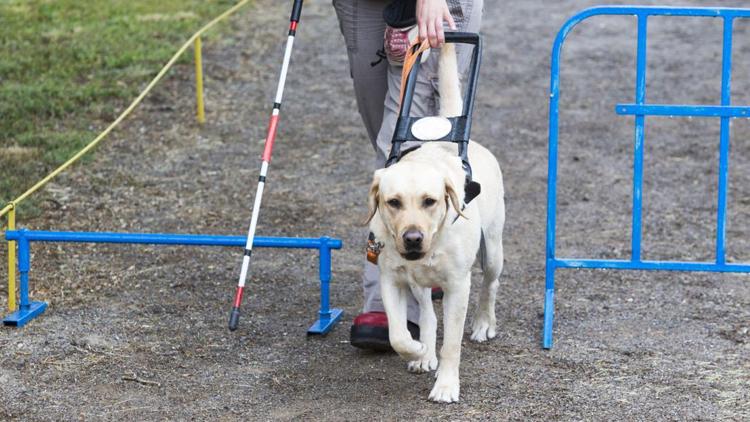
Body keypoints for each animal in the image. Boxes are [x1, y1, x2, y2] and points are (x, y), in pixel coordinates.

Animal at [368, 42, 508, 402]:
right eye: (393, 202)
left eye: (430, 201)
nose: (412, 238)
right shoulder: (391, 279)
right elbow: (398, 335)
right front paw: (418, 350)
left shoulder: (458, 286)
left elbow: (453, 345)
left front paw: (446, 385)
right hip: (418, 282)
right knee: (428, 314)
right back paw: (425, 352)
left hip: (493, 251)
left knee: (490, 285)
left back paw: (484, 323)